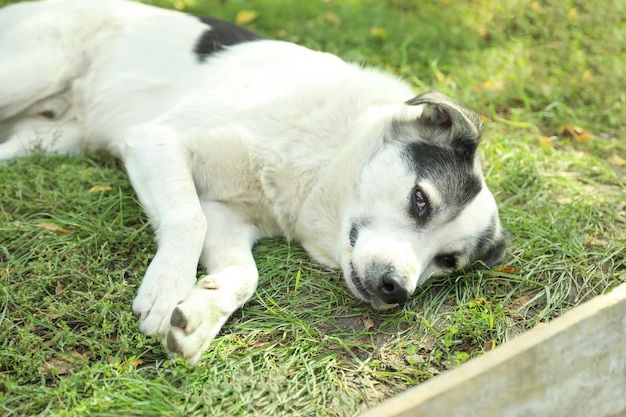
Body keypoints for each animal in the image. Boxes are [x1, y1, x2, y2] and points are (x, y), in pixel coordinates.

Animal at [0, 0, 504, 364]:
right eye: (420, 200)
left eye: (447, 261)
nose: (396, 291)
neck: (327, 152)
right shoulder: (157, 141)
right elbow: (188, 219)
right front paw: (167, 289)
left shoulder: (225, 213)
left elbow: (245, 274)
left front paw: (201, 315)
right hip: (33, 71)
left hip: (52, 139)